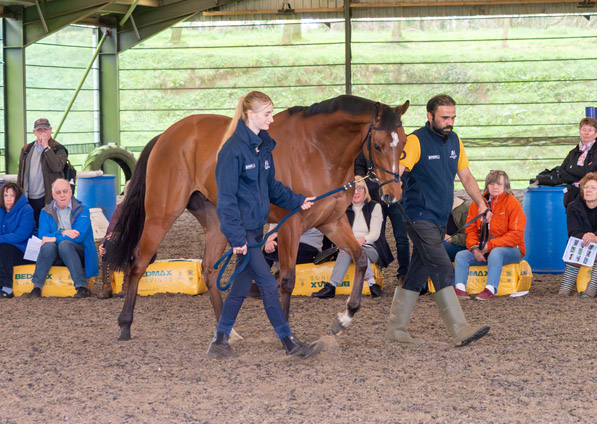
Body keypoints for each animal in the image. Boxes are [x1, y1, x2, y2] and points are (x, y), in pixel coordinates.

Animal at [109, 95, 408, 342]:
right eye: (378, 146)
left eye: (403, 145)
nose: (393, 195)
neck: (317, 151)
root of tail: (166, 135)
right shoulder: (291, 226)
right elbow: (286, 279)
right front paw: (287, 334)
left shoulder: (332, 222)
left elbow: (360, 258)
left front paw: (345, 318)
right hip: (161, 214)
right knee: (139, 262)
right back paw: (124, 325)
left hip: (218, 222)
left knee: (209, 269)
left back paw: (227, 332)